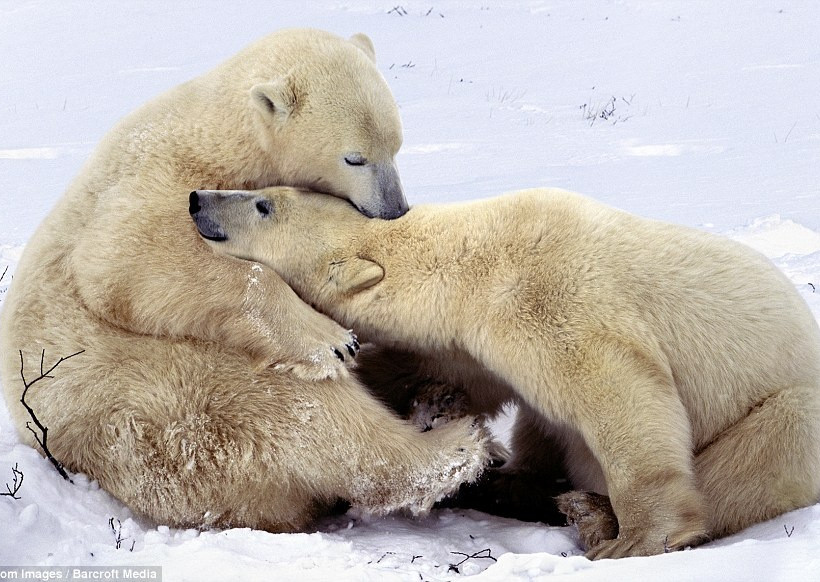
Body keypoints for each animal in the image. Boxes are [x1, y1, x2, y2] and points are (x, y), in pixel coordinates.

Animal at [0, 30, 494, 532]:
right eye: (354, 158)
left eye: (397, 146)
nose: (395, 209)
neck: (217, 134)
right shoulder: (156, 177)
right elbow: (125, 257)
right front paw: (330, 339)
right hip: (163, 392)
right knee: (303, 412)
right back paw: (452, 442)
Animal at [189, 187, 820, 560]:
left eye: (263, 204)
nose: (198, 198)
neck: (472, 255)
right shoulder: (468, 335)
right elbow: (449, 372)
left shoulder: (547, 294)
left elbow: (618, 390)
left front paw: (638, 540)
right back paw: (511, 485)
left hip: (787, 412)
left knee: (747, 464)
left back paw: (590, 515)